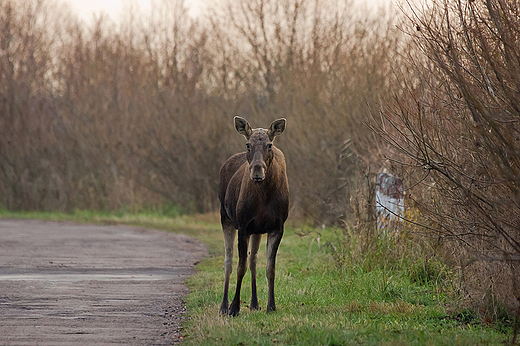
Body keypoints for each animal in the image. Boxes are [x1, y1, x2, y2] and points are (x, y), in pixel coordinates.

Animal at [218, 116, 288, 316]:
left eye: (270, 145)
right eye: (248, 144)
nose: (257, 171)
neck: (264, 196)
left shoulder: (277, 228)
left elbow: (270, 268)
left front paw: (271, 305)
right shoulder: (243, 226)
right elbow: (239, 267)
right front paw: (234, 307)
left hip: (256, 231)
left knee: (253, 261)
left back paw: (255, 303)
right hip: (225, 218)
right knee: (228, 260)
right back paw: (224, 305)